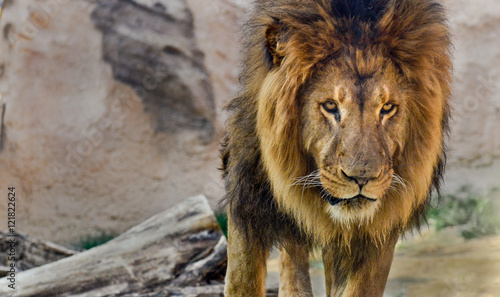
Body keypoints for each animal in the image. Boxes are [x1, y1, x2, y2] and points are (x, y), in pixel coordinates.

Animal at [221, 1, 452, 294]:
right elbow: (242, 279)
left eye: (387, 107)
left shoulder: (377, 228)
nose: (362, 179)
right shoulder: (246, 194)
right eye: (330, 106)